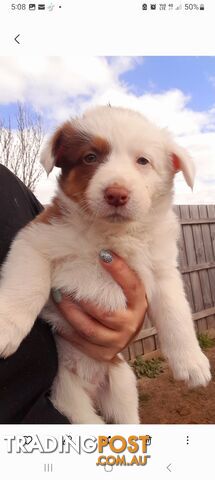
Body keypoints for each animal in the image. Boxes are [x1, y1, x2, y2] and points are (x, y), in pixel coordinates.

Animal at [0, 106, 212, 424]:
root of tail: (92, 383)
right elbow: (26, 288)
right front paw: (6, 327)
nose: (116, 194)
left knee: (127, 418)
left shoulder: (163, 271)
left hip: (122, 383)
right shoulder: (35, 239)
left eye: (142, 161)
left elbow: (176, 314)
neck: (109, 234)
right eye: (90, 157)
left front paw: (192, 363)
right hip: (67, 396)